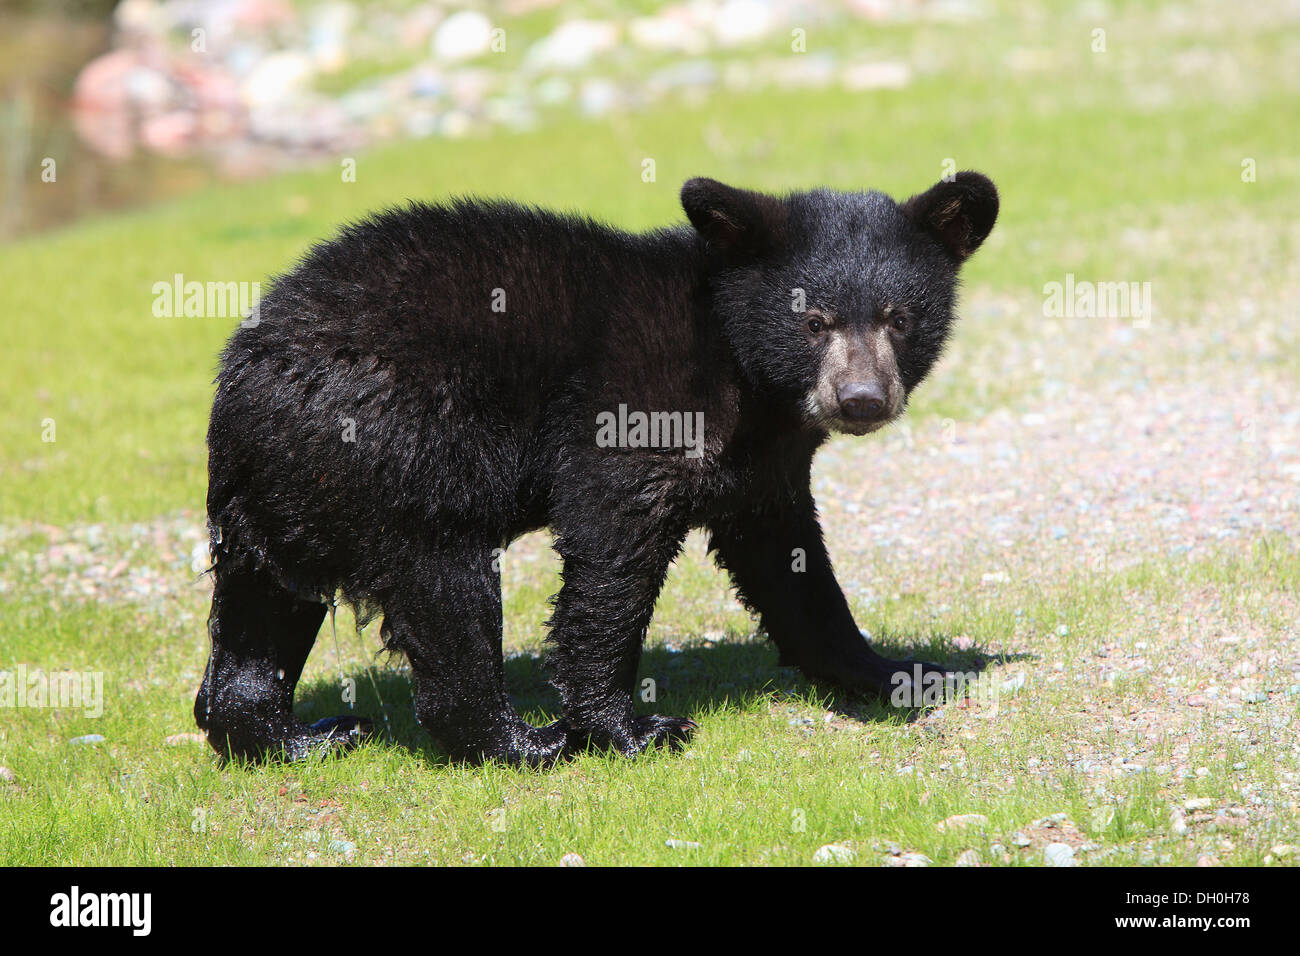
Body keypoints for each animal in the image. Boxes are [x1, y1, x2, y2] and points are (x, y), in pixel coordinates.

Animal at [196, 171, 999, 766]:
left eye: (899, 318)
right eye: (813, 321)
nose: (861, 398)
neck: (740, 365)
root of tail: (247, 373)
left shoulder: (765, 459)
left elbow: (788, 558)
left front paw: (891, 672)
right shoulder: (633, 402)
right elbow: (610, 536)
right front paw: (628, 728)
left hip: (281, 492)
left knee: (262, 603)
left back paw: (295, 736)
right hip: (397, 446)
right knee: (443, 580)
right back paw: (526, 742)